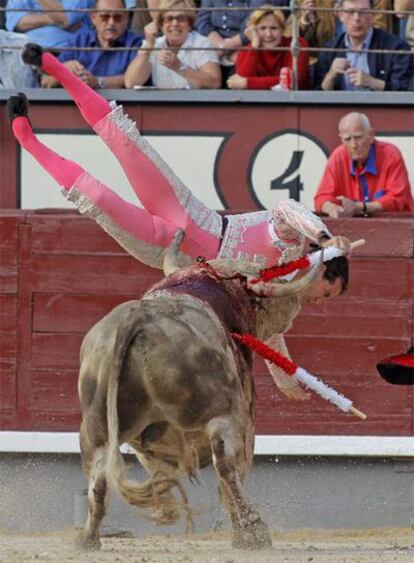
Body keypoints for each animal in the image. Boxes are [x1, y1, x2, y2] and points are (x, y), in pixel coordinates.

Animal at [77, 230, 318, 552]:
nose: (293, 308)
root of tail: (137, 319)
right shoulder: (245, 421)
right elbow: (235, 471)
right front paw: (244, 534)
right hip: (223, 416)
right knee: (226, 468)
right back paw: (255, 531)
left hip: (96, 427)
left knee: (99, 476)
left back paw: (90, 539)